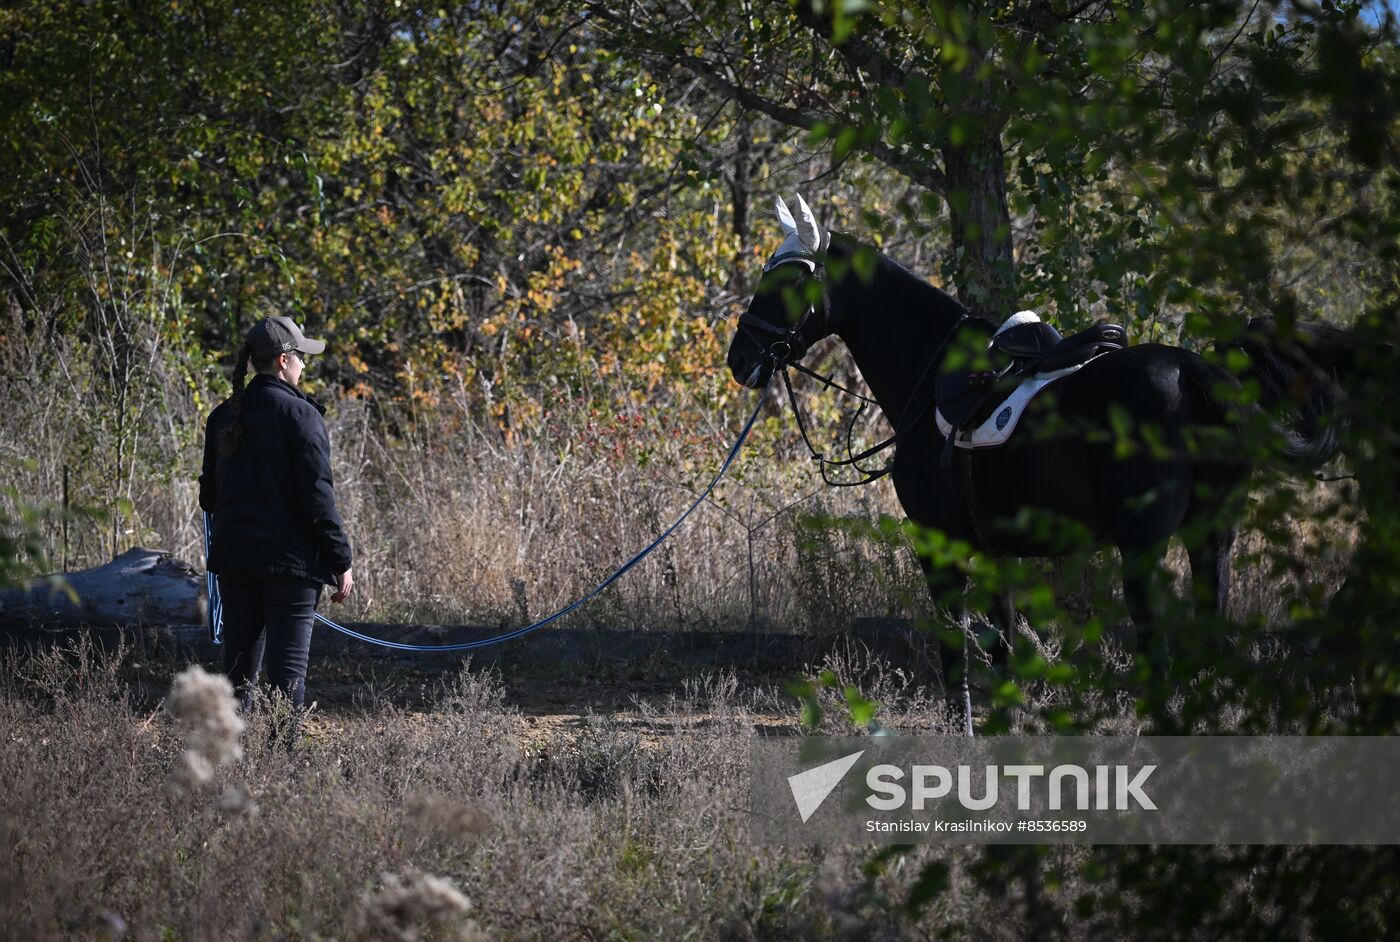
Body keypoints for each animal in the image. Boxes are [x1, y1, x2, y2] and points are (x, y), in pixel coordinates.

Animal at [728, 198, 1338, 685]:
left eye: (787, 281)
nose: (739, 359)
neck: (931, 378)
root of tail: (1190, 369)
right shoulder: (999, 553)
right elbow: (1003, 650)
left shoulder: (939, 549)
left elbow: (956, 655)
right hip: (1211, 537)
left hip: (1144, 546)